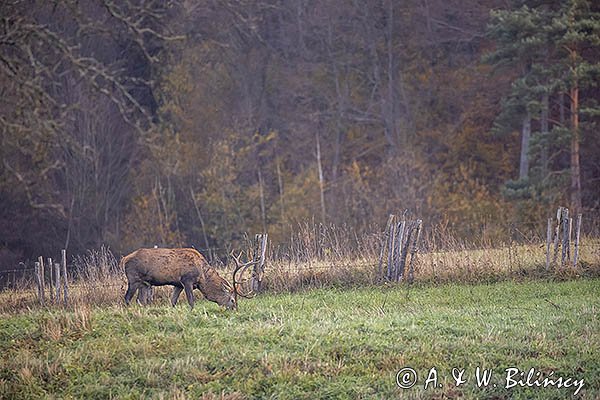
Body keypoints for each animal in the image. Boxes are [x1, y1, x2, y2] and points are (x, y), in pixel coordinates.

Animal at [120, 247, 254, 310]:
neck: (202, 278)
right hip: (133, 278)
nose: (235, 309)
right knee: (127, 298)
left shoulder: (178, 284)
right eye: (232, 300)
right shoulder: (187, 280)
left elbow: (173, 302)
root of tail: (124, 259)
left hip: (145, 283)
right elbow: (191, 301)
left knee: (140, 300)